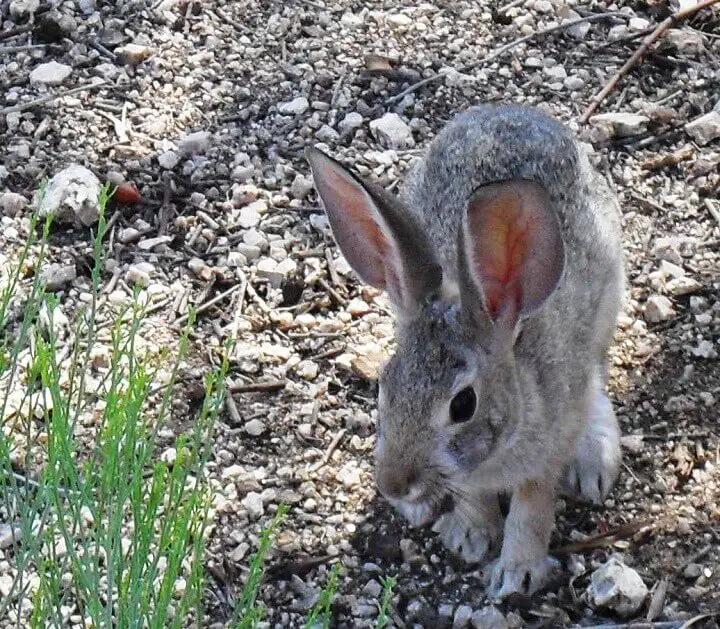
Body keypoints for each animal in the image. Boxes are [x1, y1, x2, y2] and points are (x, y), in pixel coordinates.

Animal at [306, 104, 620, 600]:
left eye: (463, 405)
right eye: (384, 386)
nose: (392, 484)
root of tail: (511, 109)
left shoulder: (546, 450)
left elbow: (533, 506)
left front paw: (517, 572)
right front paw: (469, 535)